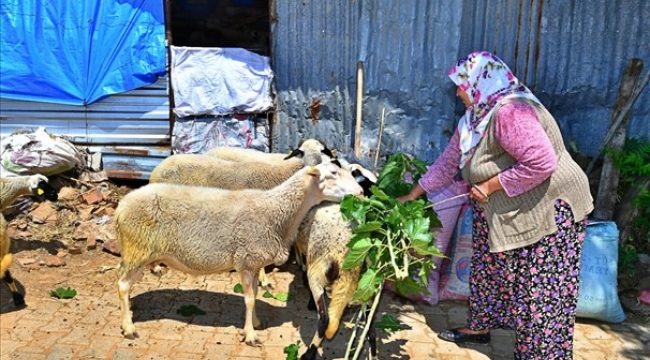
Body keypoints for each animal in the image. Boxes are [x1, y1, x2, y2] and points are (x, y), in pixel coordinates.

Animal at [113, 162, 362, 344]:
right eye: (333, 173)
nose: (360, 191)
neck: (276, 210)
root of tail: (120, 207)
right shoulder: (246, 260)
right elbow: (249, 299)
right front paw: (250, 334)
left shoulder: (254, 264)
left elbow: (255, 295)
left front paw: (256, 322)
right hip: (138, 251)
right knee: (122, 286)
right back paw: (128, 327)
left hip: (139, 253)